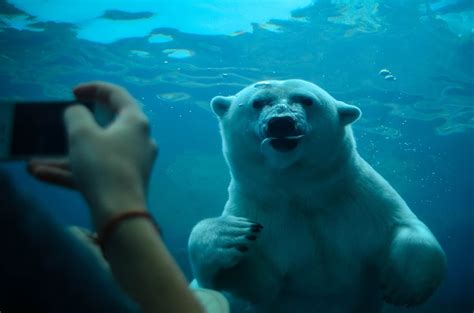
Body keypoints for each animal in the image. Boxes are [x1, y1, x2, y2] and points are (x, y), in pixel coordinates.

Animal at [187, 79, 446, 310]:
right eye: (257, 102)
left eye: (307, 100)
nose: (281, 123)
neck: (299, 190)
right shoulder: (260, 212)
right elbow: (255, 284)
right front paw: (228, 234)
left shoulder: (360, 199)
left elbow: (403, 225)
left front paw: (403, 288)